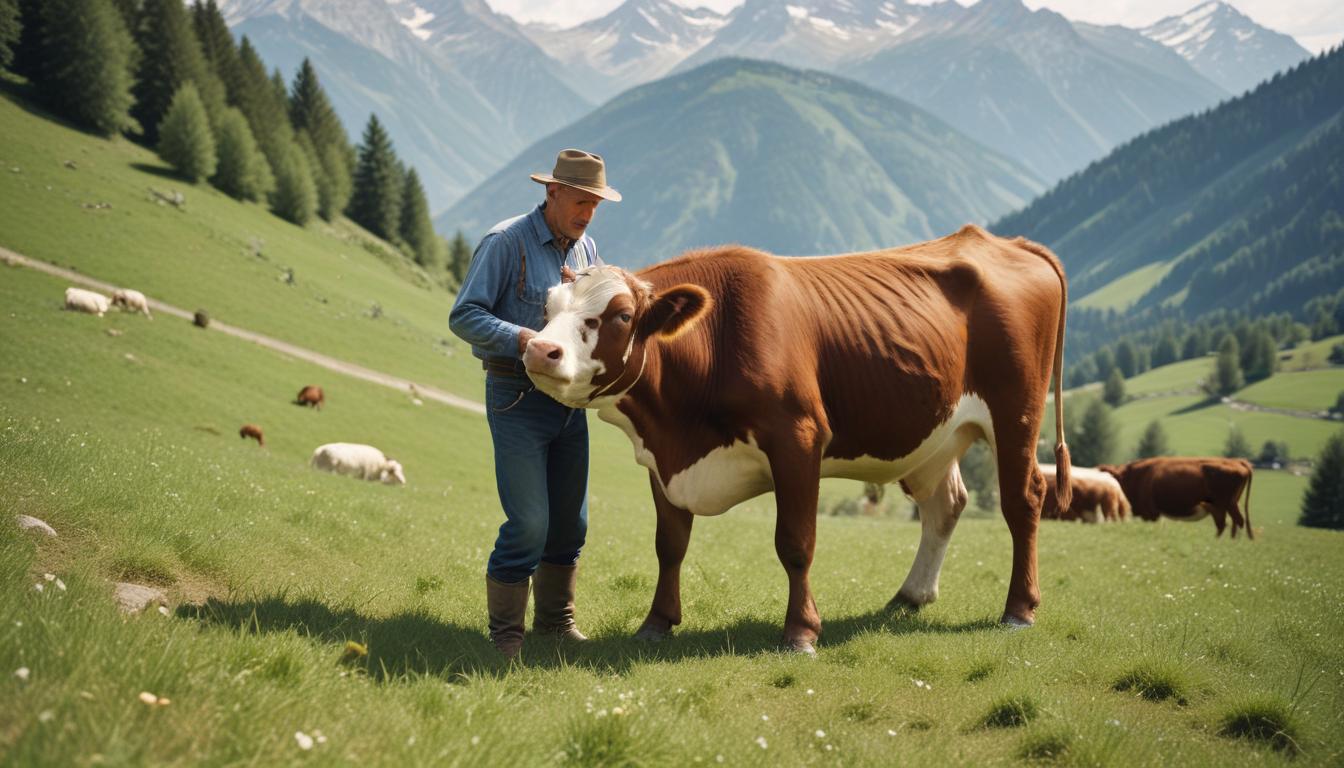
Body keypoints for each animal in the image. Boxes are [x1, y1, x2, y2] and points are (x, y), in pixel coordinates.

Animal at [519, 225, 1071, 653]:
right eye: (547, 306)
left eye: (621, 315)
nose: (540, 350)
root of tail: (1007, 243)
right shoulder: (664, 460)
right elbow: (670, 545)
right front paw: (657, 623)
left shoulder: (798, 439)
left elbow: (795, 542)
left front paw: (801, 632)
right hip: (938, 435)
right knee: (946, 504)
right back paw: (909, 596)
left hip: (1017, 413)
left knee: (1024, 500)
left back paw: (1020, 609)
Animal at [1097, 457, 1254, 539]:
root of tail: (1238, 462)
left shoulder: (1151, 513)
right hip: (1222, 506)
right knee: (1226, 524)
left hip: (1228, 504)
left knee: (1237, 521)